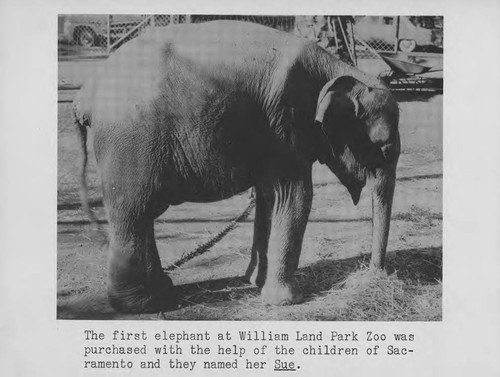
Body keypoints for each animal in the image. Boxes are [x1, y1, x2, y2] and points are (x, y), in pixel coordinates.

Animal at [74, 21, 400, 314]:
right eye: (383, 147)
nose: (375, 274)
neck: (337, 70)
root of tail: (86, 93)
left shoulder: (272, 137)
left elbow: (270, 198)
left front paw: (255, 282)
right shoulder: (285, 127)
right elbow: (296, 197)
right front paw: (286, 301)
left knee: (144, 215)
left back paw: (163, 289)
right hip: (129, 144)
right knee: (133, 212)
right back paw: (143, 304)